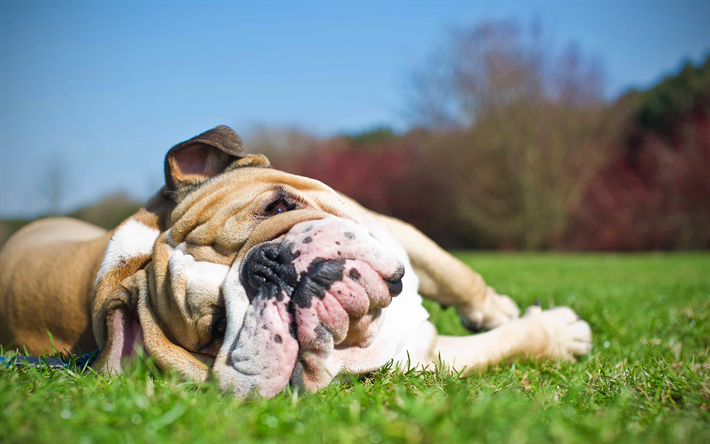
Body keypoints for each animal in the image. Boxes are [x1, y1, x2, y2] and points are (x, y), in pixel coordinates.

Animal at [0, 126, 592, 398]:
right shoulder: (421, 356)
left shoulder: (392, 230)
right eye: (216, 328)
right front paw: (558, 334)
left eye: (280, 207)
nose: (269, 267)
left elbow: (459, 274)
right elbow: (503, 344)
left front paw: (495, 307)